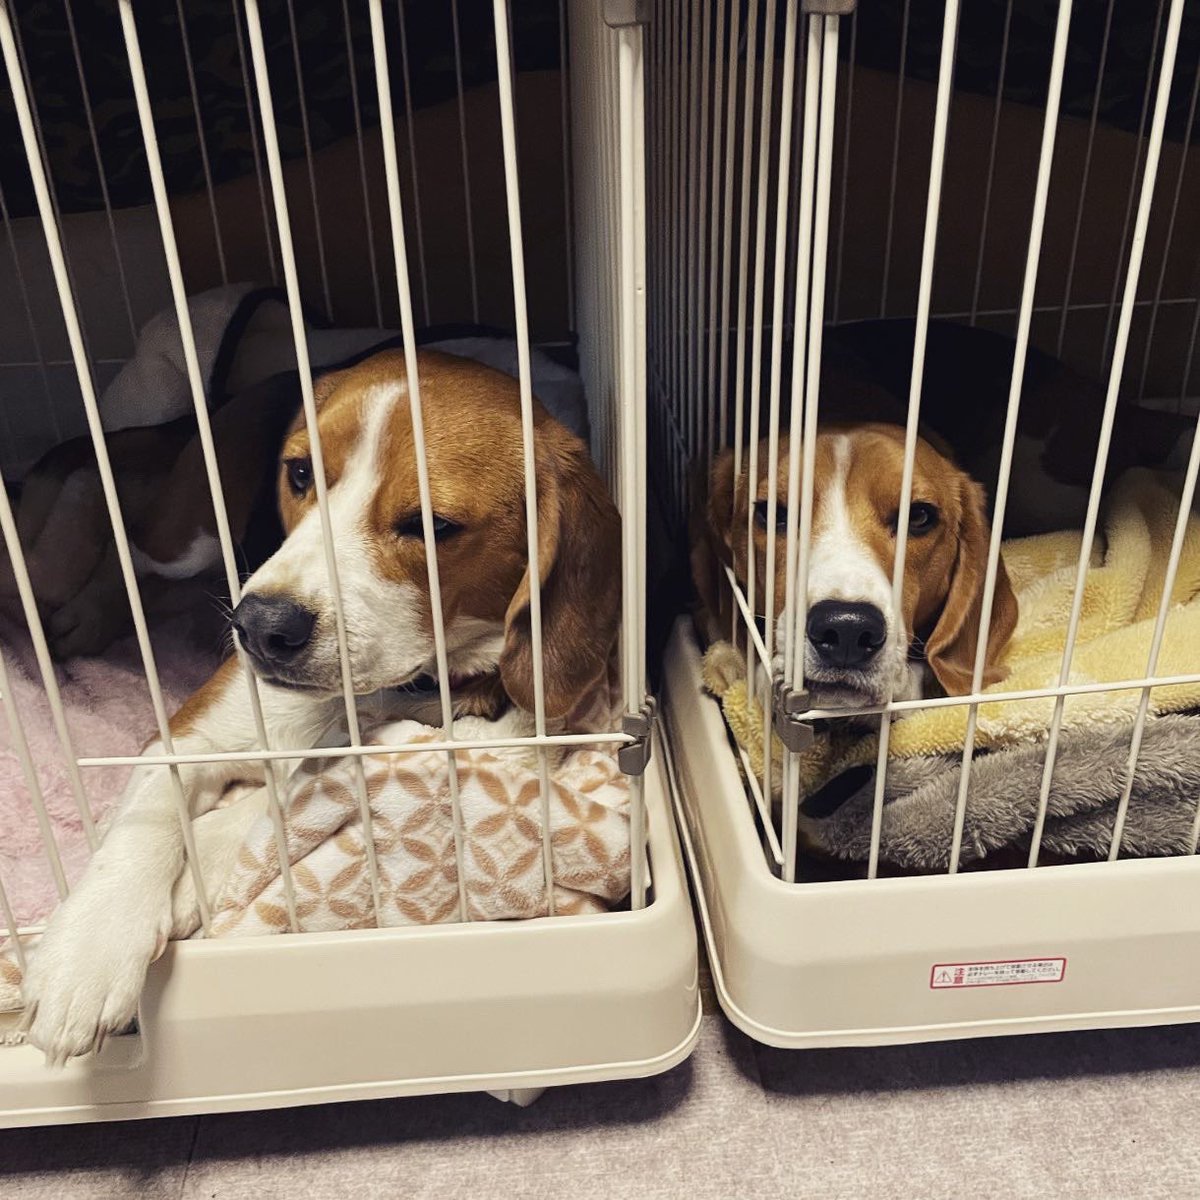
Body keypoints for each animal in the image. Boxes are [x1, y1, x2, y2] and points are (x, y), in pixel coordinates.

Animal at [20, 349, 622, 1064]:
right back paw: (82, 604)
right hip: (186, 537)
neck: (376, 697)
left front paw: (194, 879)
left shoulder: (489, 752)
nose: (259, 627)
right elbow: (148, 822)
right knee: (128, 546)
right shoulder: (188, 738)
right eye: (301, 473)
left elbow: (264, 811)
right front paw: (84, 954)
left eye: (432, 526)